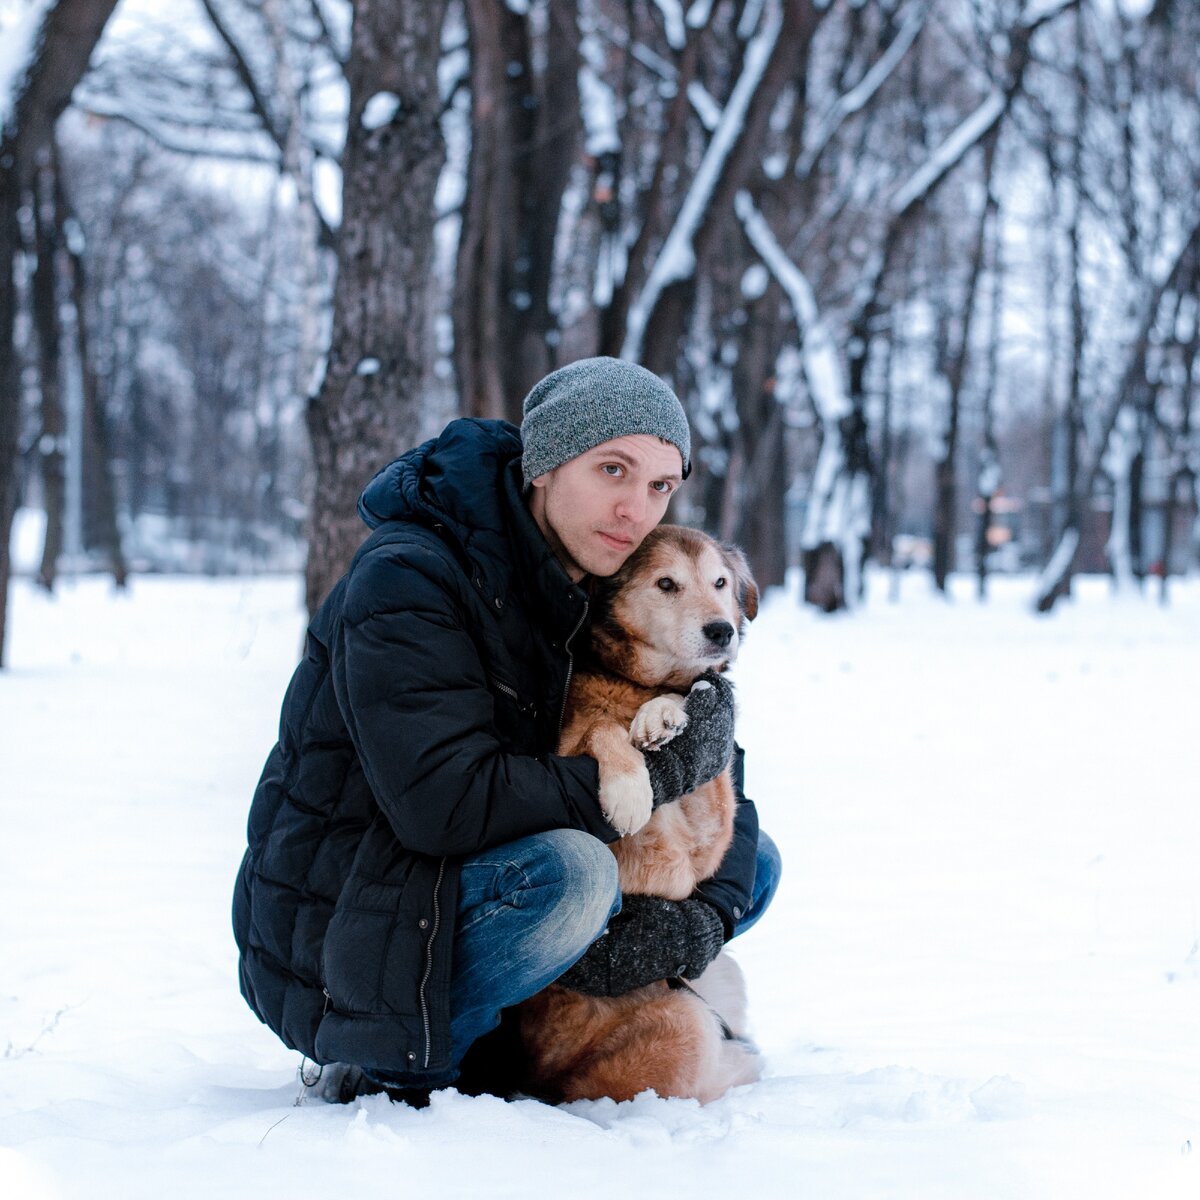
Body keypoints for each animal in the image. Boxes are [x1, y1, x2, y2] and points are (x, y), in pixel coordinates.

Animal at [516, 520, 758, 1099]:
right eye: (666, 584)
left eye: (719, 582)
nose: (721, 631)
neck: (638, 682)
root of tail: (551, 1083)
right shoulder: (565, 748)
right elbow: (602, 728)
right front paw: (628, 788)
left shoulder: (710, 823)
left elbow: (693, 706)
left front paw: (665, 715)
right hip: (682, 1020)